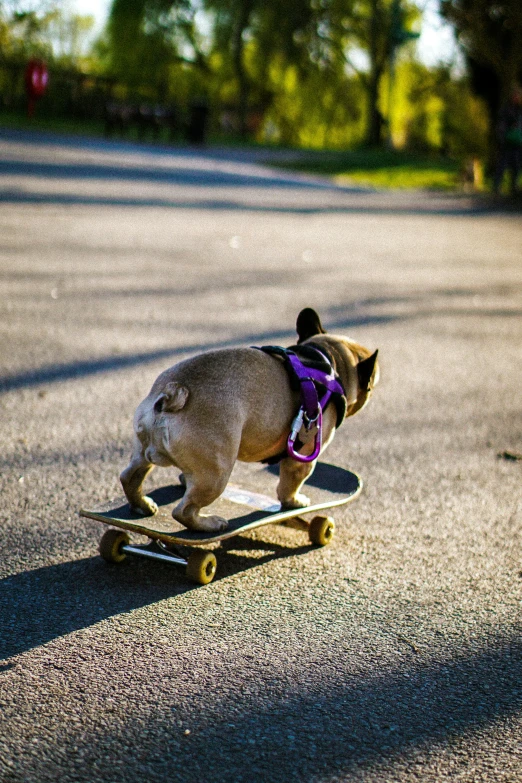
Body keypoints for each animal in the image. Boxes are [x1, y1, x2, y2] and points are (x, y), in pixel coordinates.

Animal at [119, 310, 376, 536]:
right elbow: (291, 482)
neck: (326, 359)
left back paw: (143, 505)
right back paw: (209, 524)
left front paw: (182, 480)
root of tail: (174, 392)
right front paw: (294, 502)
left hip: (144, 452)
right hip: (217, 472)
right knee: (183, 511)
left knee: (130, 477)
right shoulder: (304, 453)